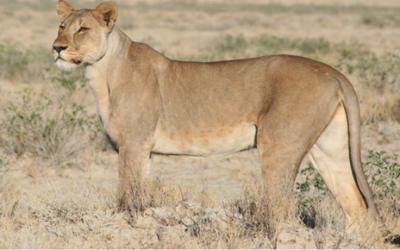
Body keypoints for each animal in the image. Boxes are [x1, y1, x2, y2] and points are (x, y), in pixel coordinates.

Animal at [53, 0, 400, 242]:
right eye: (60, 26)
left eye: (82, 29)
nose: (57, 48)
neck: (101, 73)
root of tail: (333, 71)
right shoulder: (142, 150)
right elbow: (141, 194)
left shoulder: (133, 145)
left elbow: (126, 198)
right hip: (328, 149)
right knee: (355, 205)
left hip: (279, 146)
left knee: (284, 209)